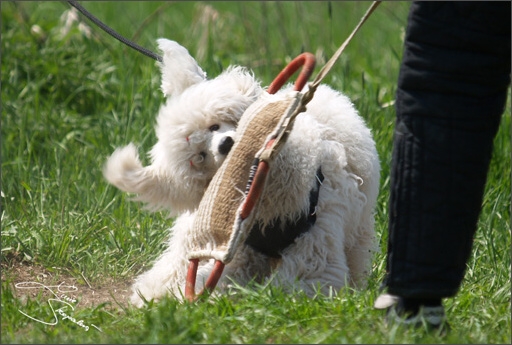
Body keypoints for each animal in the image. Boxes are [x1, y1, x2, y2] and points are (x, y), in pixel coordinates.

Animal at [104, 38, 380, 306]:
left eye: (214, 125)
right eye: (200, 157)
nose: (225, 144)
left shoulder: (313, 241)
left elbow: (298, 285)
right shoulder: (244, 252)